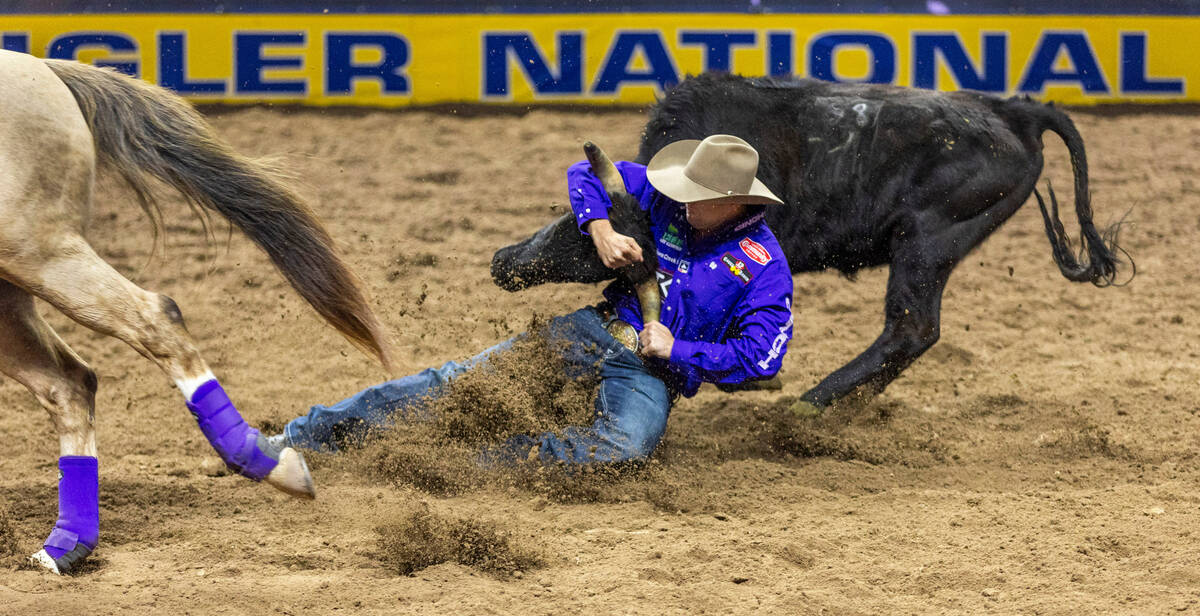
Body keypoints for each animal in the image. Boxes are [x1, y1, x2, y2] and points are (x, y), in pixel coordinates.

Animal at [0, 50, 388, 573]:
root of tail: (43, 65)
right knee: (69, 383)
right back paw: (68, 543)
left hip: (40, 251)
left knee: (153, 319)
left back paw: (264, 460)